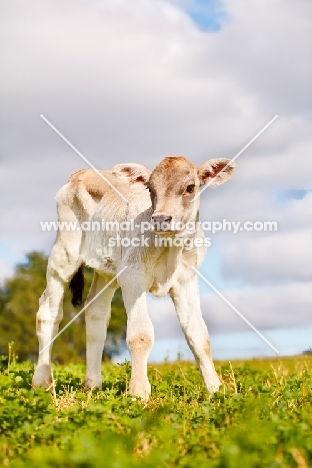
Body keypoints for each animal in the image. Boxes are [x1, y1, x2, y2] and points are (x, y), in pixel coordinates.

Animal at [33, 156, 235, 398]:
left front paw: (216, 389)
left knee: (96, 314)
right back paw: (42, 381)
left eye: (190, 187)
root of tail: (81, 173)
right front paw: (139, 391)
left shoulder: (186, 280)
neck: (170, 247)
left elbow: (198, 334)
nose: (161, 218)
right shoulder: (132, 276)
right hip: (63, 254)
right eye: (150, 188)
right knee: (48, 314)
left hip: (106, 271)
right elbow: (140, 334)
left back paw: (92, 384)